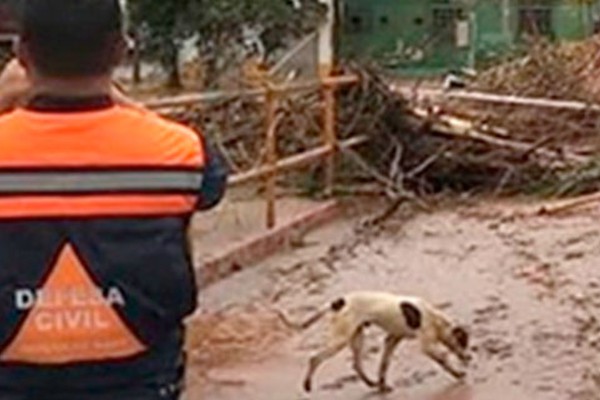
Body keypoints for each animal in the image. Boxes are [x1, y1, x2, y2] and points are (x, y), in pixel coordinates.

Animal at [276, 292, 468, 392]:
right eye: (463, 342)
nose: (469, 358)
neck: (435, 319)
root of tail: (338, 302)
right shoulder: (426, 346)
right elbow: (443, 359)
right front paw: (458, 373)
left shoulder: (392, 339)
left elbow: (384, 364)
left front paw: (382, 383)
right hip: (340, 340)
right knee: (315, 358)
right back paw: (307, 385)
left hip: (357, 338)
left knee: (356, 365)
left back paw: (372, 384)